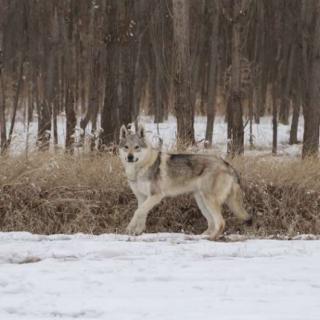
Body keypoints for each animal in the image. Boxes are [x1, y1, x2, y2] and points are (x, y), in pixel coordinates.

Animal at [119, 125, 251, 240]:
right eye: (126, 147)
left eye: (137, 147)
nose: (130, 157)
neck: (140, 168)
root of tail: (226, 163)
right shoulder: (142, 197)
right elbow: (142, 214)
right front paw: (137, 232)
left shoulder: (156, 196)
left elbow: (137, 212)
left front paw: (129, 229)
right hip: (201, 202)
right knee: (212, 223)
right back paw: (201, 237)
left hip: (209, 200)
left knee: (221, 222)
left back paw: (211, 238)